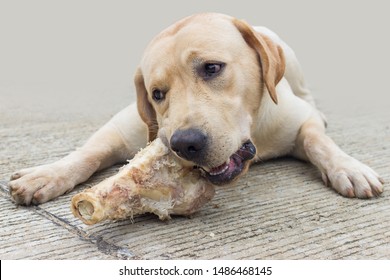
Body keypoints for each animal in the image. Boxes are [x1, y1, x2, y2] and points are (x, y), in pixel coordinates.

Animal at [8, 12, 384, 206]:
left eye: (212, 68)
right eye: (157, 94)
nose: (185, 144)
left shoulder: (297, 120)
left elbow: (318, 140)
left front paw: (347, 167)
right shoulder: (124, 126)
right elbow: (88, 152)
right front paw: (48, 174)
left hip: (289, 56)